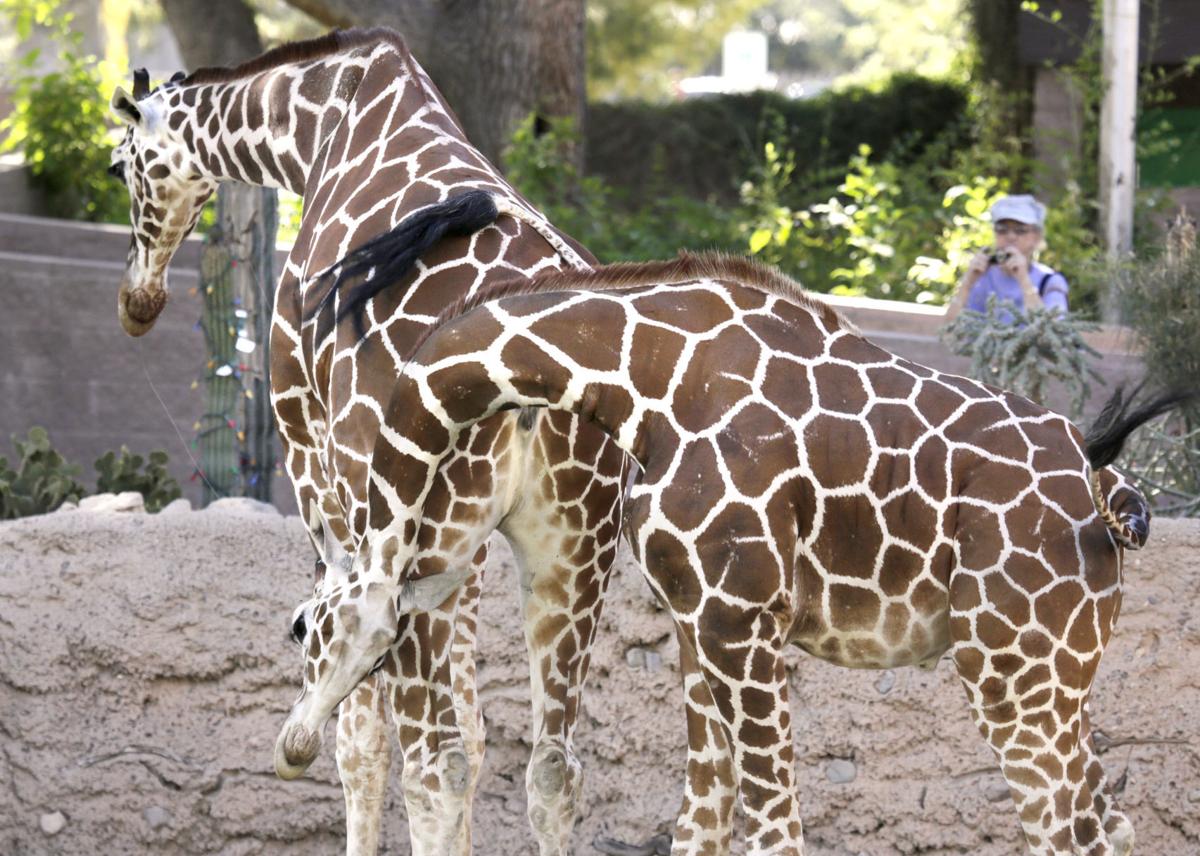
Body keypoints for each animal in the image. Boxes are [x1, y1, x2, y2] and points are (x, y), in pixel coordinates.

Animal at [105, 29, 630, 855]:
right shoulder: (477, 549)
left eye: (119, 166)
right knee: (552, 767)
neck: (317, 123)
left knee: (430, 759)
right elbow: (478, 729)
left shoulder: (311, 450)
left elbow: (362, 732)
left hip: (410, 520)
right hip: (575, 548)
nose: (139, 302)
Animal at [278, 253, 1185, 856]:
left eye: (310, 630)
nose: (292, 748)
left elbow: (775, 831)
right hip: (1064, 675)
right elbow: (703, 825)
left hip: (1012, 670)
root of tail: (1105, 490)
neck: (642, 377)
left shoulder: (742, 618)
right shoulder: (698, 621)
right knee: (1109, 822)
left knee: (1063, 828)